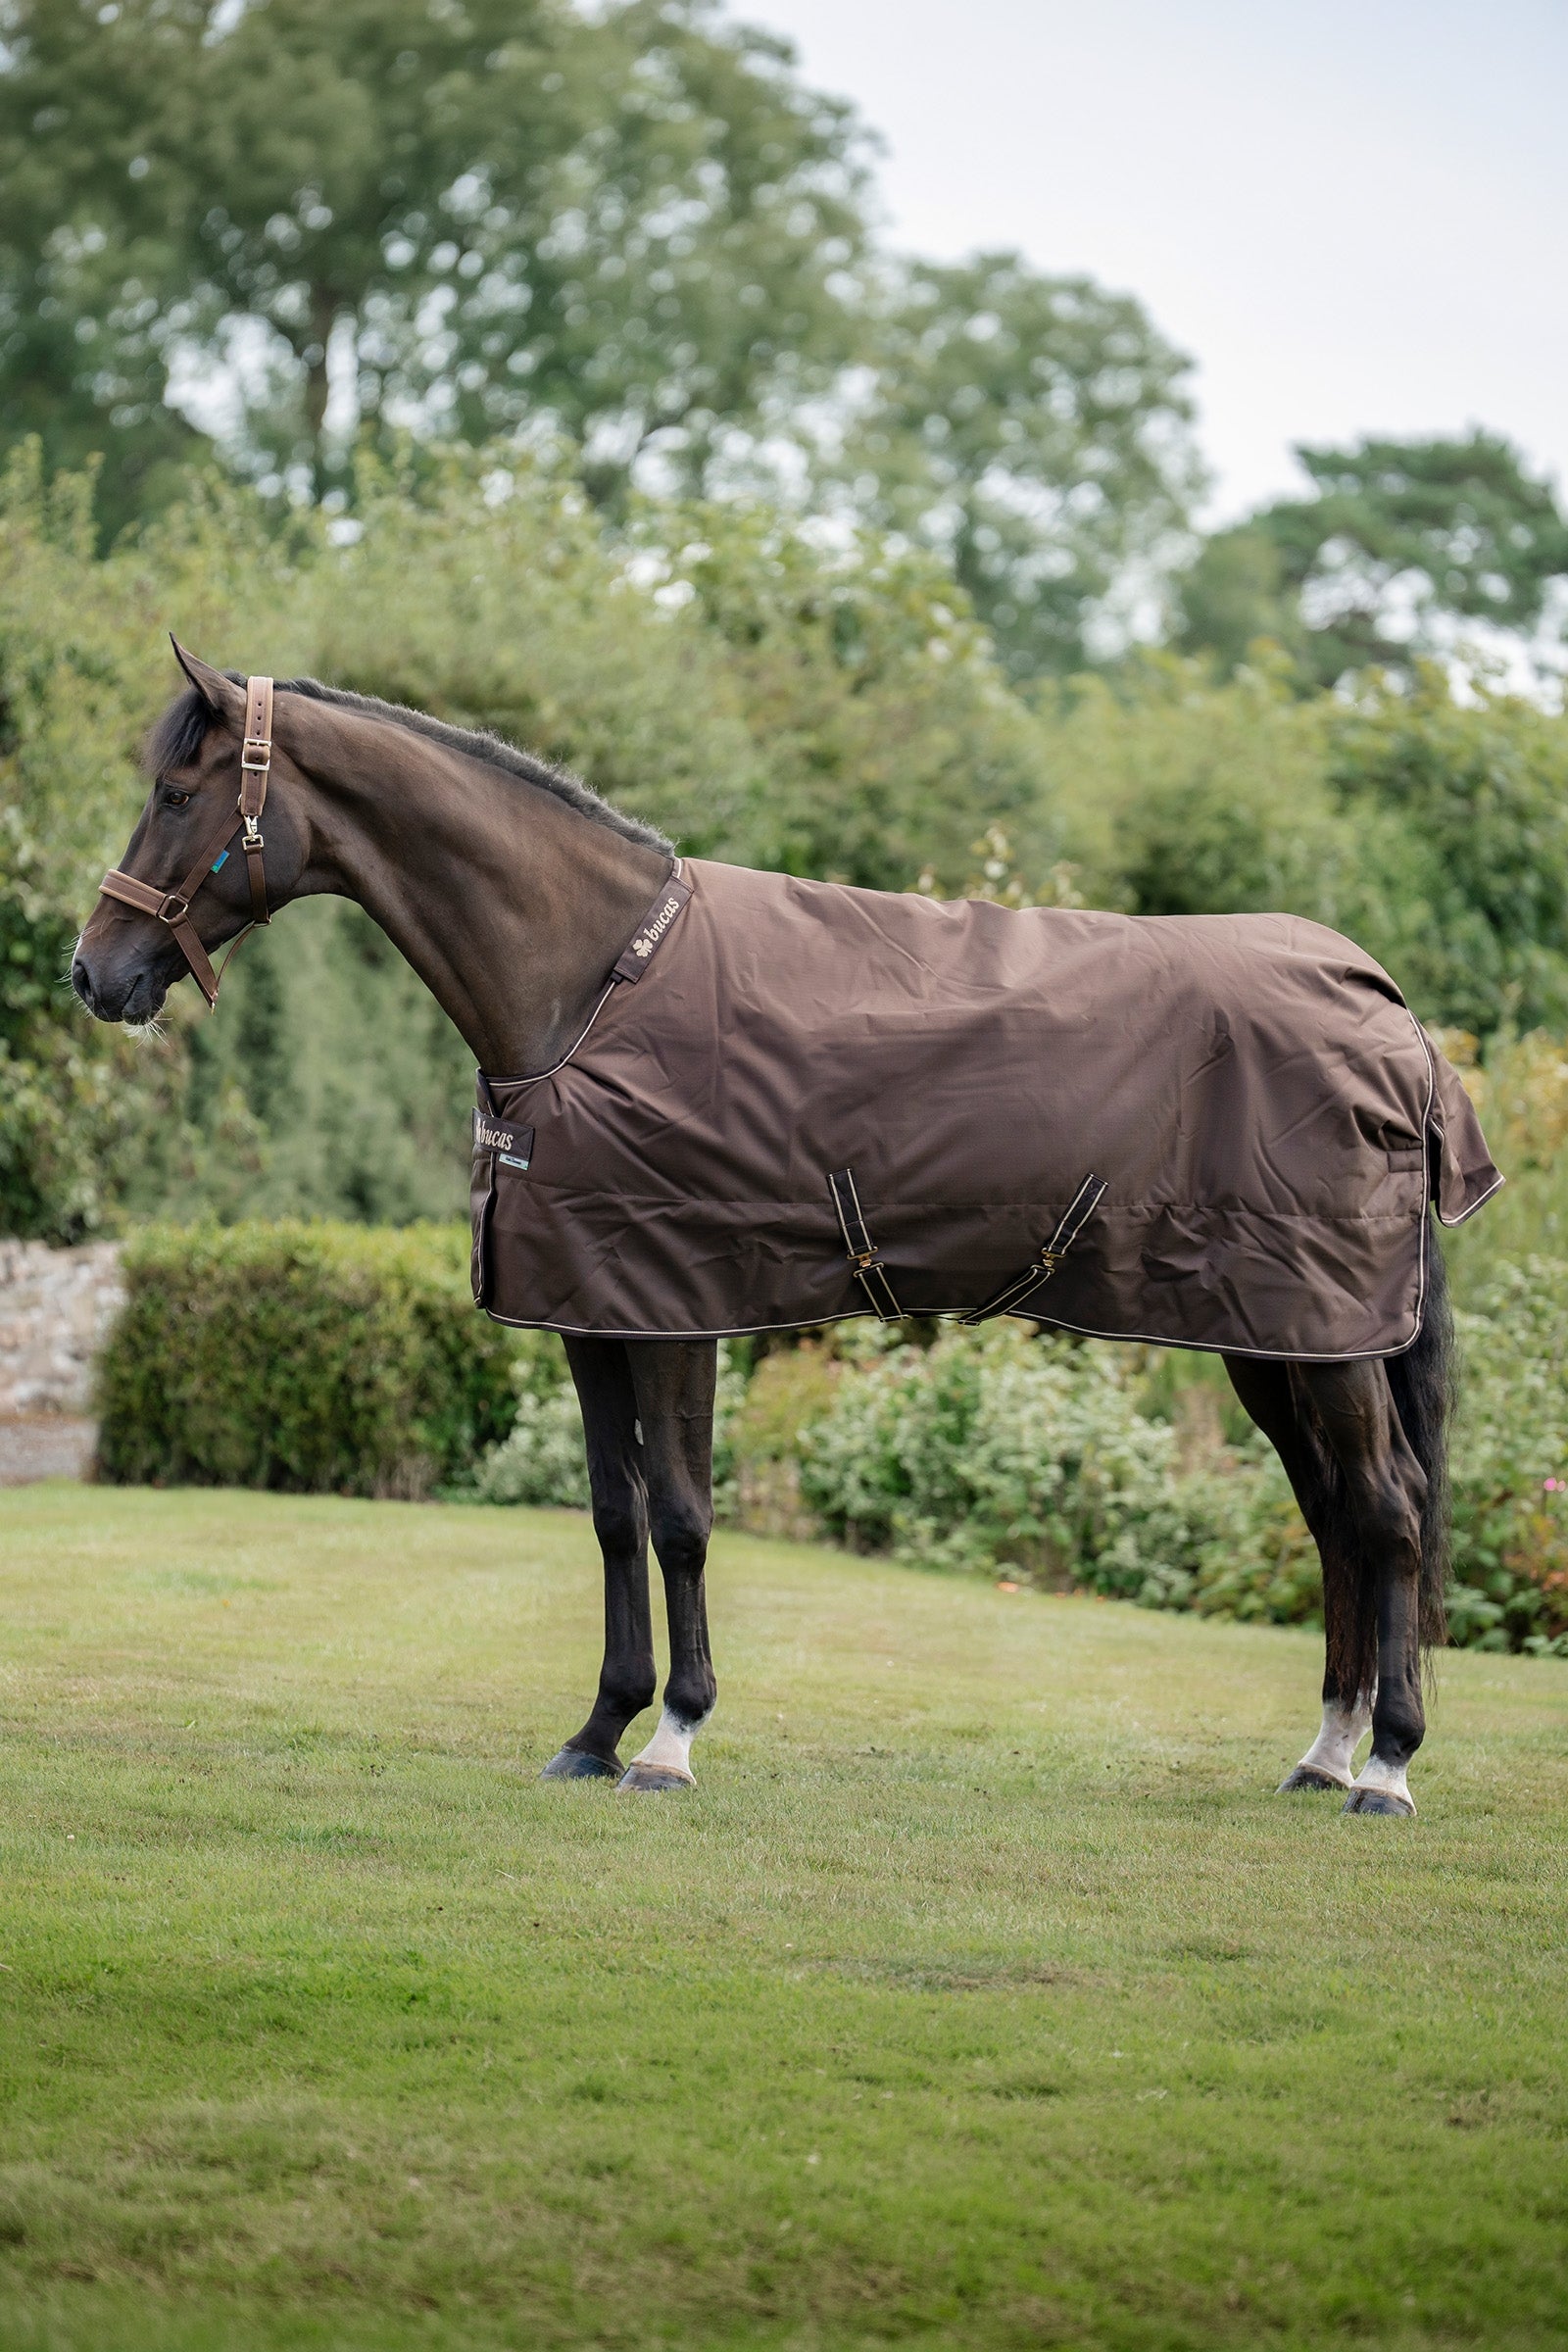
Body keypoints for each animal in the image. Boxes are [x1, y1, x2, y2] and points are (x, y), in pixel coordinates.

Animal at [73, 643, 1500, 1818]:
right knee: (1336, 1517)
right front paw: (594, 1731)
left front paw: (671, 1741)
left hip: (1324, 1338)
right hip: (1279, 1338)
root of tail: (1388, 1011)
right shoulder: (588, 1309)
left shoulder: (678, 1307)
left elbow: (682, 1519)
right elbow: (612, 1516)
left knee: (1388, 1512)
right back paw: (1323, 1753)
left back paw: (1386, 1768)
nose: (93, 974)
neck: (593, 982)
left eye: (178, 793)